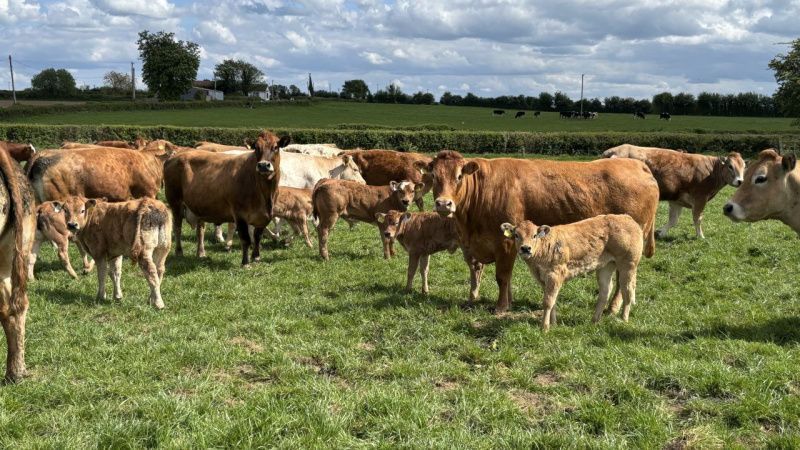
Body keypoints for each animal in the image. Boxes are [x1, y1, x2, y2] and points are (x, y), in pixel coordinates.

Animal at [164, 130, 289, 266]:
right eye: (256, 147)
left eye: (275, 147)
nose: (263, 165)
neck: (264, 193)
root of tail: (177, 154)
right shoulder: (239, 214)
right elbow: (245, 239)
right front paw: (245, 263)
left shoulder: (265, 215)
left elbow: (257, 237)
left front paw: (256, 257)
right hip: (175, 202)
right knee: (177, 228)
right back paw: (179, 252)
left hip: (198, 205)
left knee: (200, 230)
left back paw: (201, 253)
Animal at [415, 150, 659, 314]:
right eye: (434, 176)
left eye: (459, 176)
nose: (443, 204)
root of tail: (638, 165)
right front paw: (508, 302)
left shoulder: (504, 244)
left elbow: (502, 276)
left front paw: (501, 307)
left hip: (627, 250)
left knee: (623, 277)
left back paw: (613, 308)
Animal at [501, 214, 643, 331]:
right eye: (516, 235)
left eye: (534, 235)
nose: (525, 248)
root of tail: (627, 218)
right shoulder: (543, 278)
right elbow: (553, 301)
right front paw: (553, 324)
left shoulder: (555, 274)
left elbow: (548, 301)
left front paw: (544, 327)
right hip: (606, 266)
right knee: (605, 291)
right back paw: (594, 321)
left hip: (628, 264)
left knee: (627, 291)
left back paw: (623, 319)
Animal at [603, 144, 745, 238]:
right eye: (730, 166)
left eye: (744, 166)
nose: (740, 181)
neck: (711, 171)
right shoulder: (700, 198)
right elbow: (697, 218)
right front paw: (700, 236)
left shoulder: (677, 200)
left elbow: (673, 220)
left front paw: (661, 233)